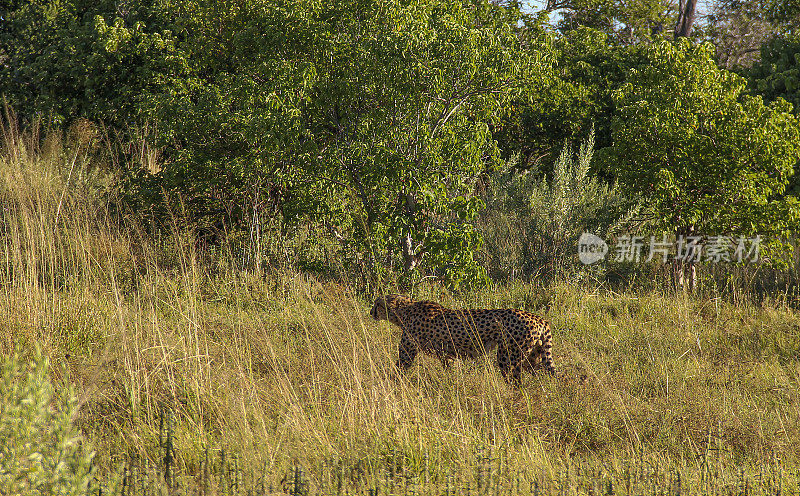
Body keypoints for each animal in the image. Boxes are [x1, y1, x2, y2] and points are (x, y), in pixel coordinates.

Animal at [370, 294, 552, 384]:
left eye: (377, 303)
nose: (371, 312)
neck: (404, 312)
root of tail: (539, 318)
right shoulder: (447, 355)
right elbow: (450, 370)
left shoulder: (407, 354)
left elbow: (397, 369)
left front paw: (387, 384)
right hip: (532, 357)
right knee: (542, 375)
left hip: (508, 357)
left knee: (516, 382)